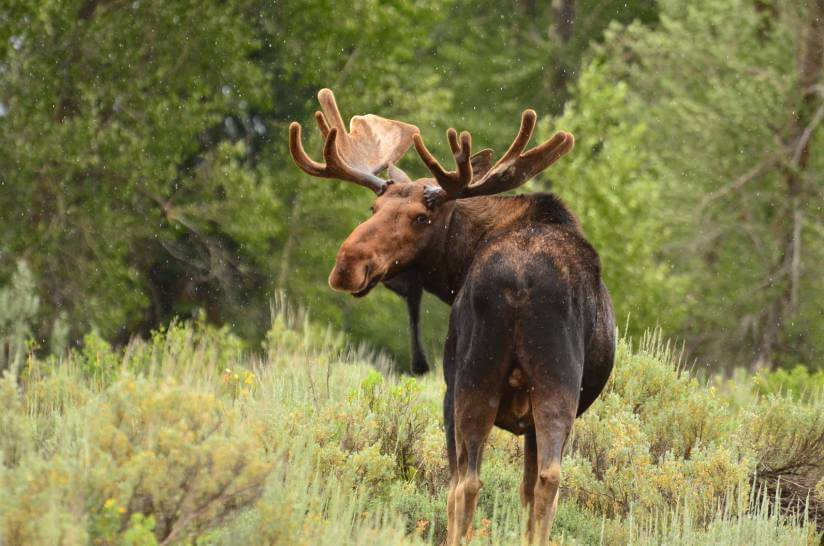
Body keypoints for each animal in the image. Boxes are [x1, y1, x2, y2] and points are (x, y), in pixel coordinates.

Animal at [286, 87, 616, 540]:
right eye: (373, 210)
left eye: (421, 218)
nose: (347, 264)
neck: (457, 267)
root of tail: (519, 285)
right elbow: (526, 489)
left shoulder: (449, 386)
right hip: (551, 384)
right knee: (545, 478)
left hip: (470, 382)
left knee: (464, 483)